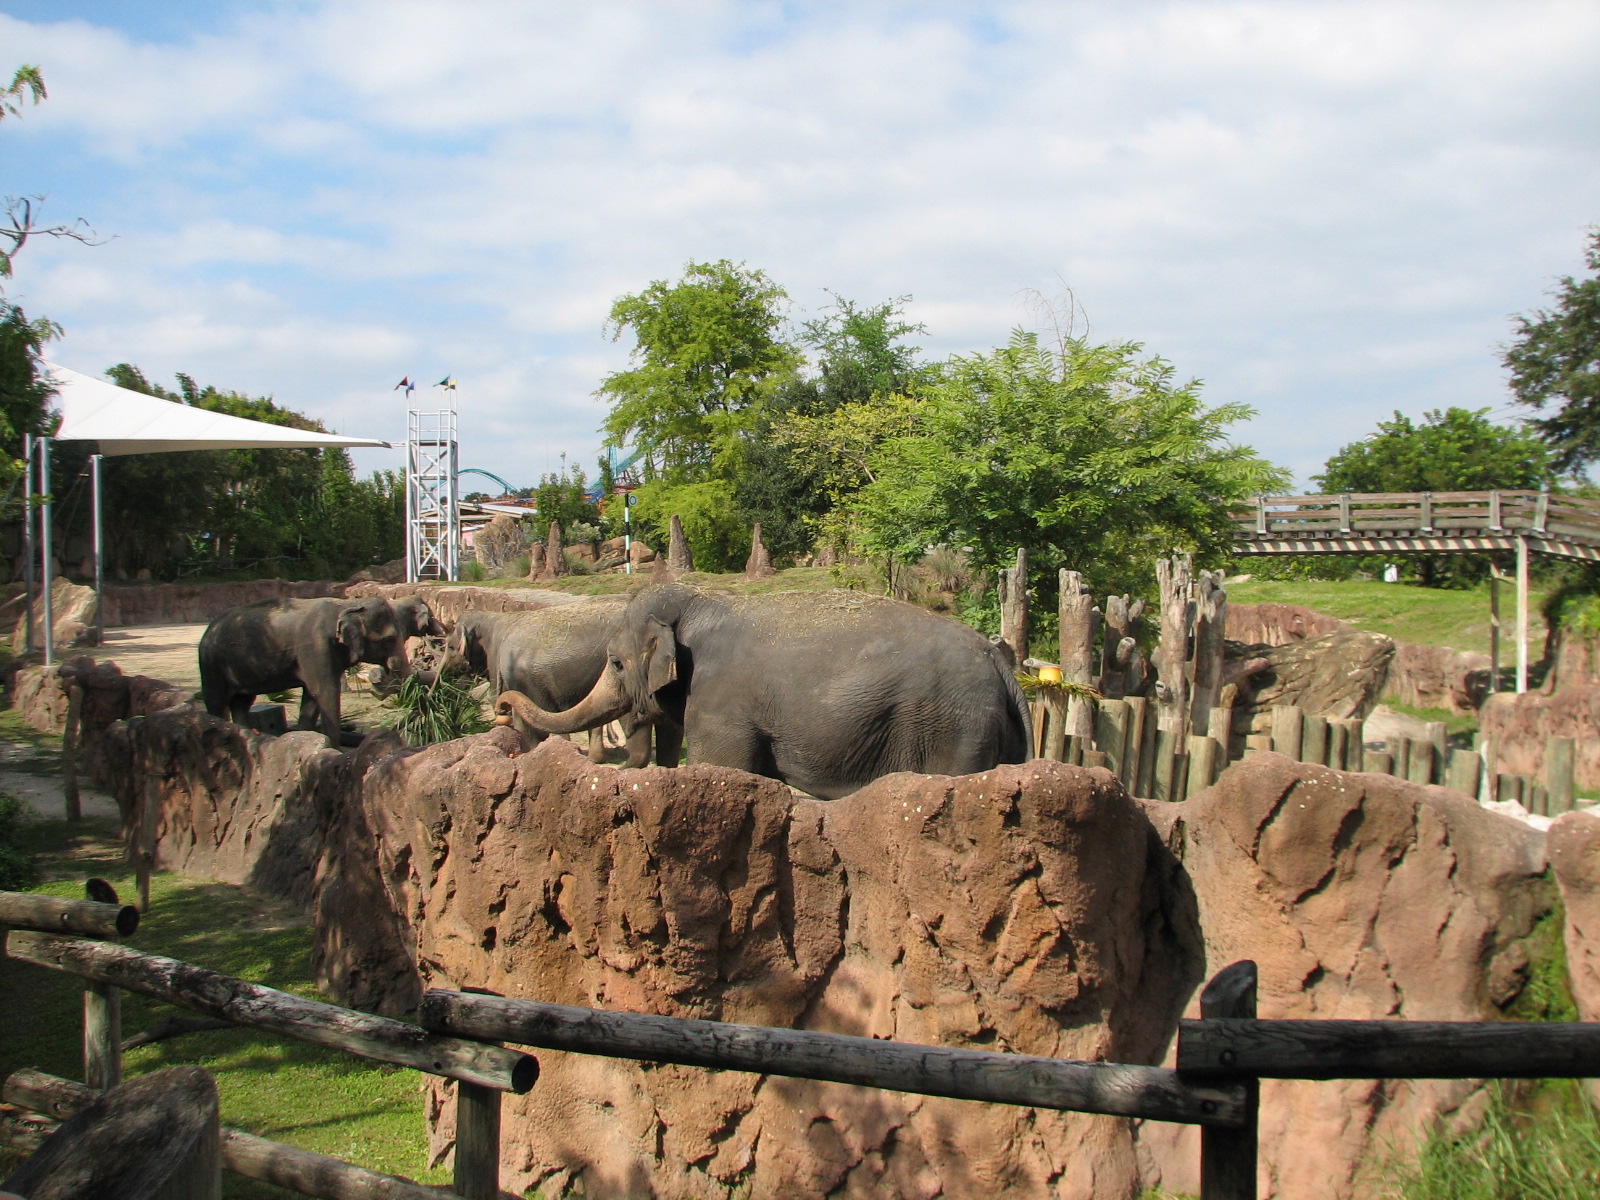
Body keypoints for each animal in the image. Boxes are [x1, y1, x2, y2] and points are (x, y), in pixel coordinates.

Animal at [198, 595, 412, 743]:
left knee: (241, 703)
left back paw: (245, 735)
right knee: (216, 702)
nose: (382, 674)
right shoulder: (315, 647)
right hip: (211, 664)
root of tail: (208, 629)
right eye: (388, 639)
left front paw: (303, 737)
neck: (347, 604)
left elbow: (311, 697)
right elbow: (325, 692)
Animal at [495, 584, 1033, 800]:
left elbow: (722, 766)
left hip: (956, 730)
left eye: (615, 663)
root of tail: (1001, 664)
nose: (499, 706)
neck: (701, 601)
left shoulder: (720, 707)